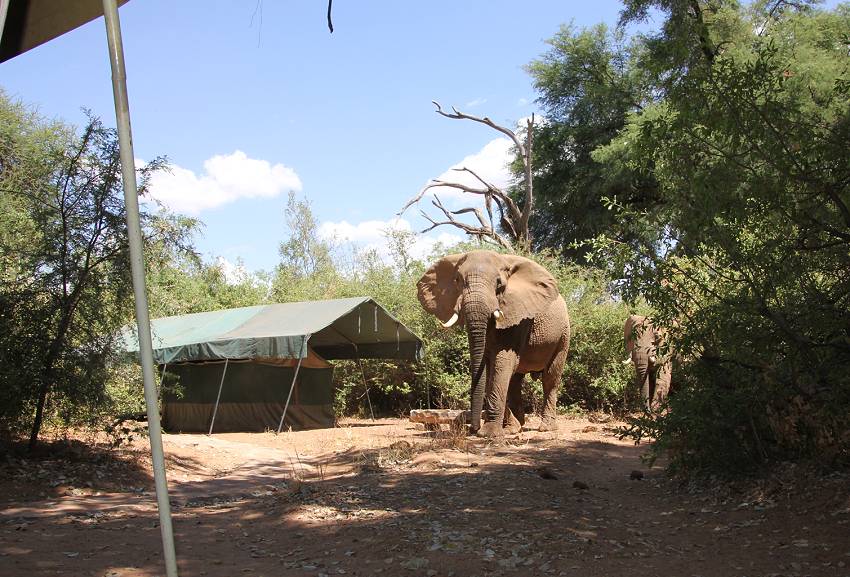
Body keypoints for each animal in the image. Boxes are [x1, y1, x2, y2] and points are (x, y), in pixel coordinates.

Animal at [414, 250, 568, 434]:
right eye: (457, 280)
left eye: (499, 283)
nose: (472, 428)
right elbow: (490, 367)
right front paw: (500, 429)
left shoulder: (519, 316)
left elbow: (502, 362)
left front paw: (489, 433)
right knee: (515, 380)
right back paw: (515, 427)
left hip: (563, 335)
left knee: (550, 377)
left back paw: (546, 428)